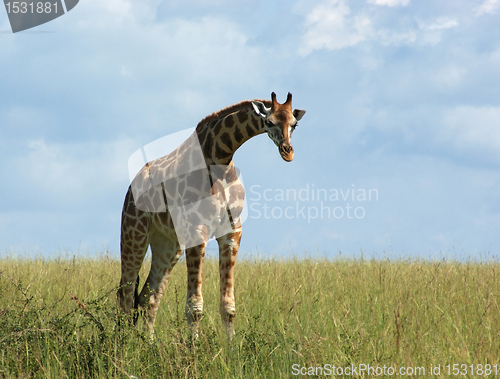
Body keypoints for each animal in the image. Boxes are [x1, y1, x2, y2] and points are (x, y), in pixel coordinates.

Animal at [118, 91, 304, 338]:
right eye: (269, 121)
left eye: (294, 124)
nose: (288, 152)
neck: (222, 159)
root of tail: (132, 186)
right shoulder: (198, 230)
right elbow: (194, 306)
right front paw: (193, 346)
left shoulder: (232, 232)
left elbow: (228, 306)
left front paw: (232, 346)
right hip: (133, 233)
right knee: (126, 293)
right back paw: (123, 343)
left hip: (167, 243)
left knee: (149, 296)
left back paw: (148, 343)